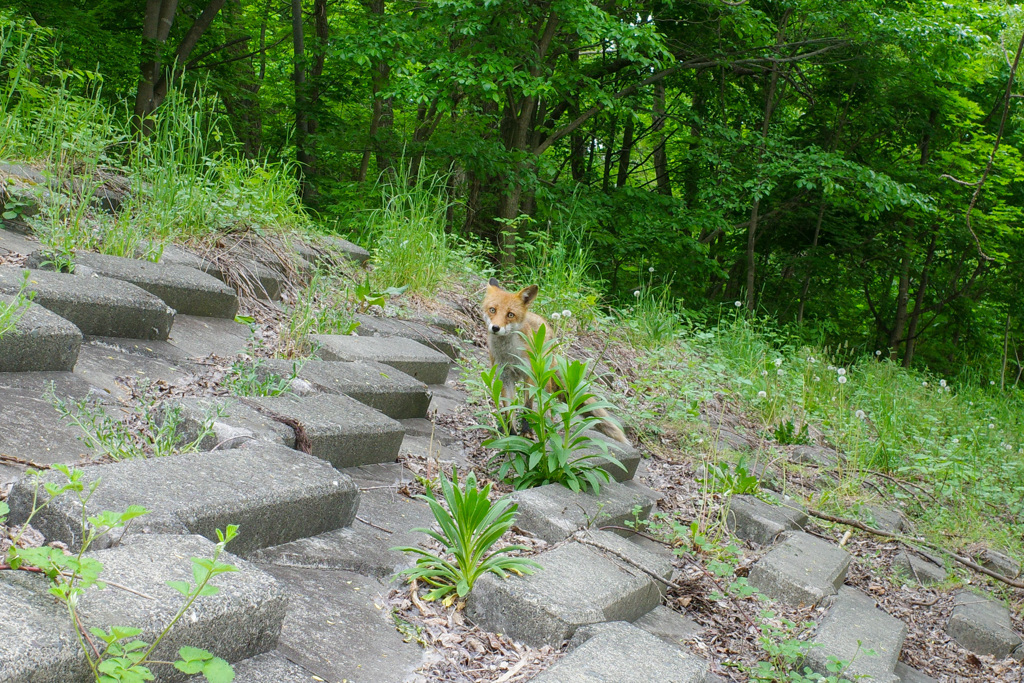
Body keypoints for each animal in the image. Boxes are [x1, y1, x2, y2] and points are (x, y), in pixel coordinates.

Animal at [481, 276, 630, 444]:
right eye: (492, 310)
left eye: (510, 314)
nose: (495, 328)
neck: (510, 354)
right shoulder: (504, 377)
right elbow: (509, 411)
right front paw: (511, 434)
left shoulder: (530, 374)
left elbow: (528, 406)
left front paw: (526, 431)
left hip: (544, 378)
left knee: (547, 405)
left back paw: (545, 428)